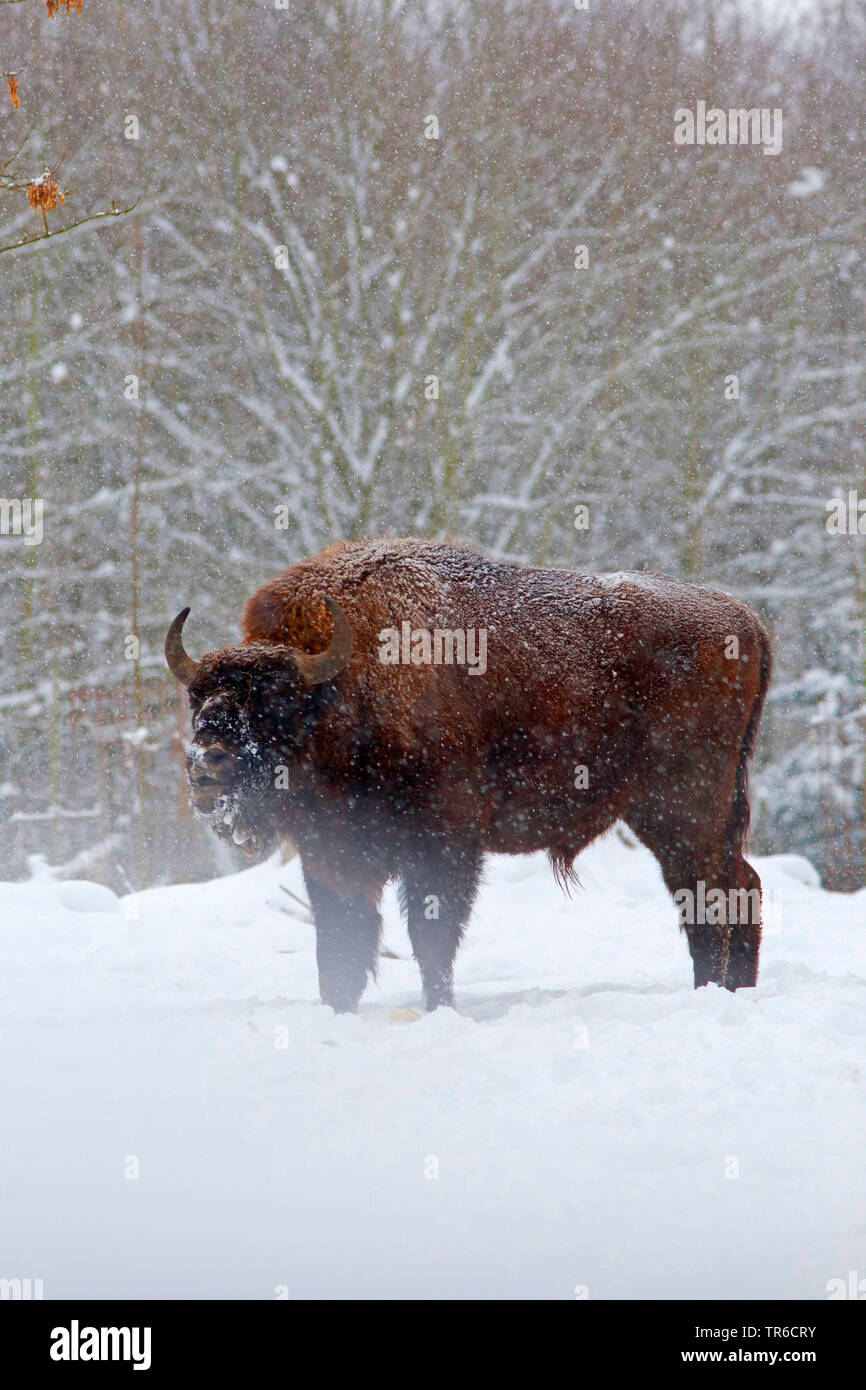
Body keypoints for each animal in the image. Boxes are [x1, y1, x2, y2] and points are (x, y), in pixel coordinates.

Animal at [166, 539, 778, 1011]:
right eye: (198, 699)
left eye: (276, 700)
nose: (207, 765)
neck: (347, 689)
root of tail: (744, 620)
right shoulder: (331, 853)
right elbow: (340, 944)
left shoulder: (444, 847)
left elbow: (430, 937)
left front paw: (439, 1009)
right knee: (739, 884)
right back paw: (736, 992)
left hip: (681, 809)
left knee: (706, 896)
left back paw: (709, 994)